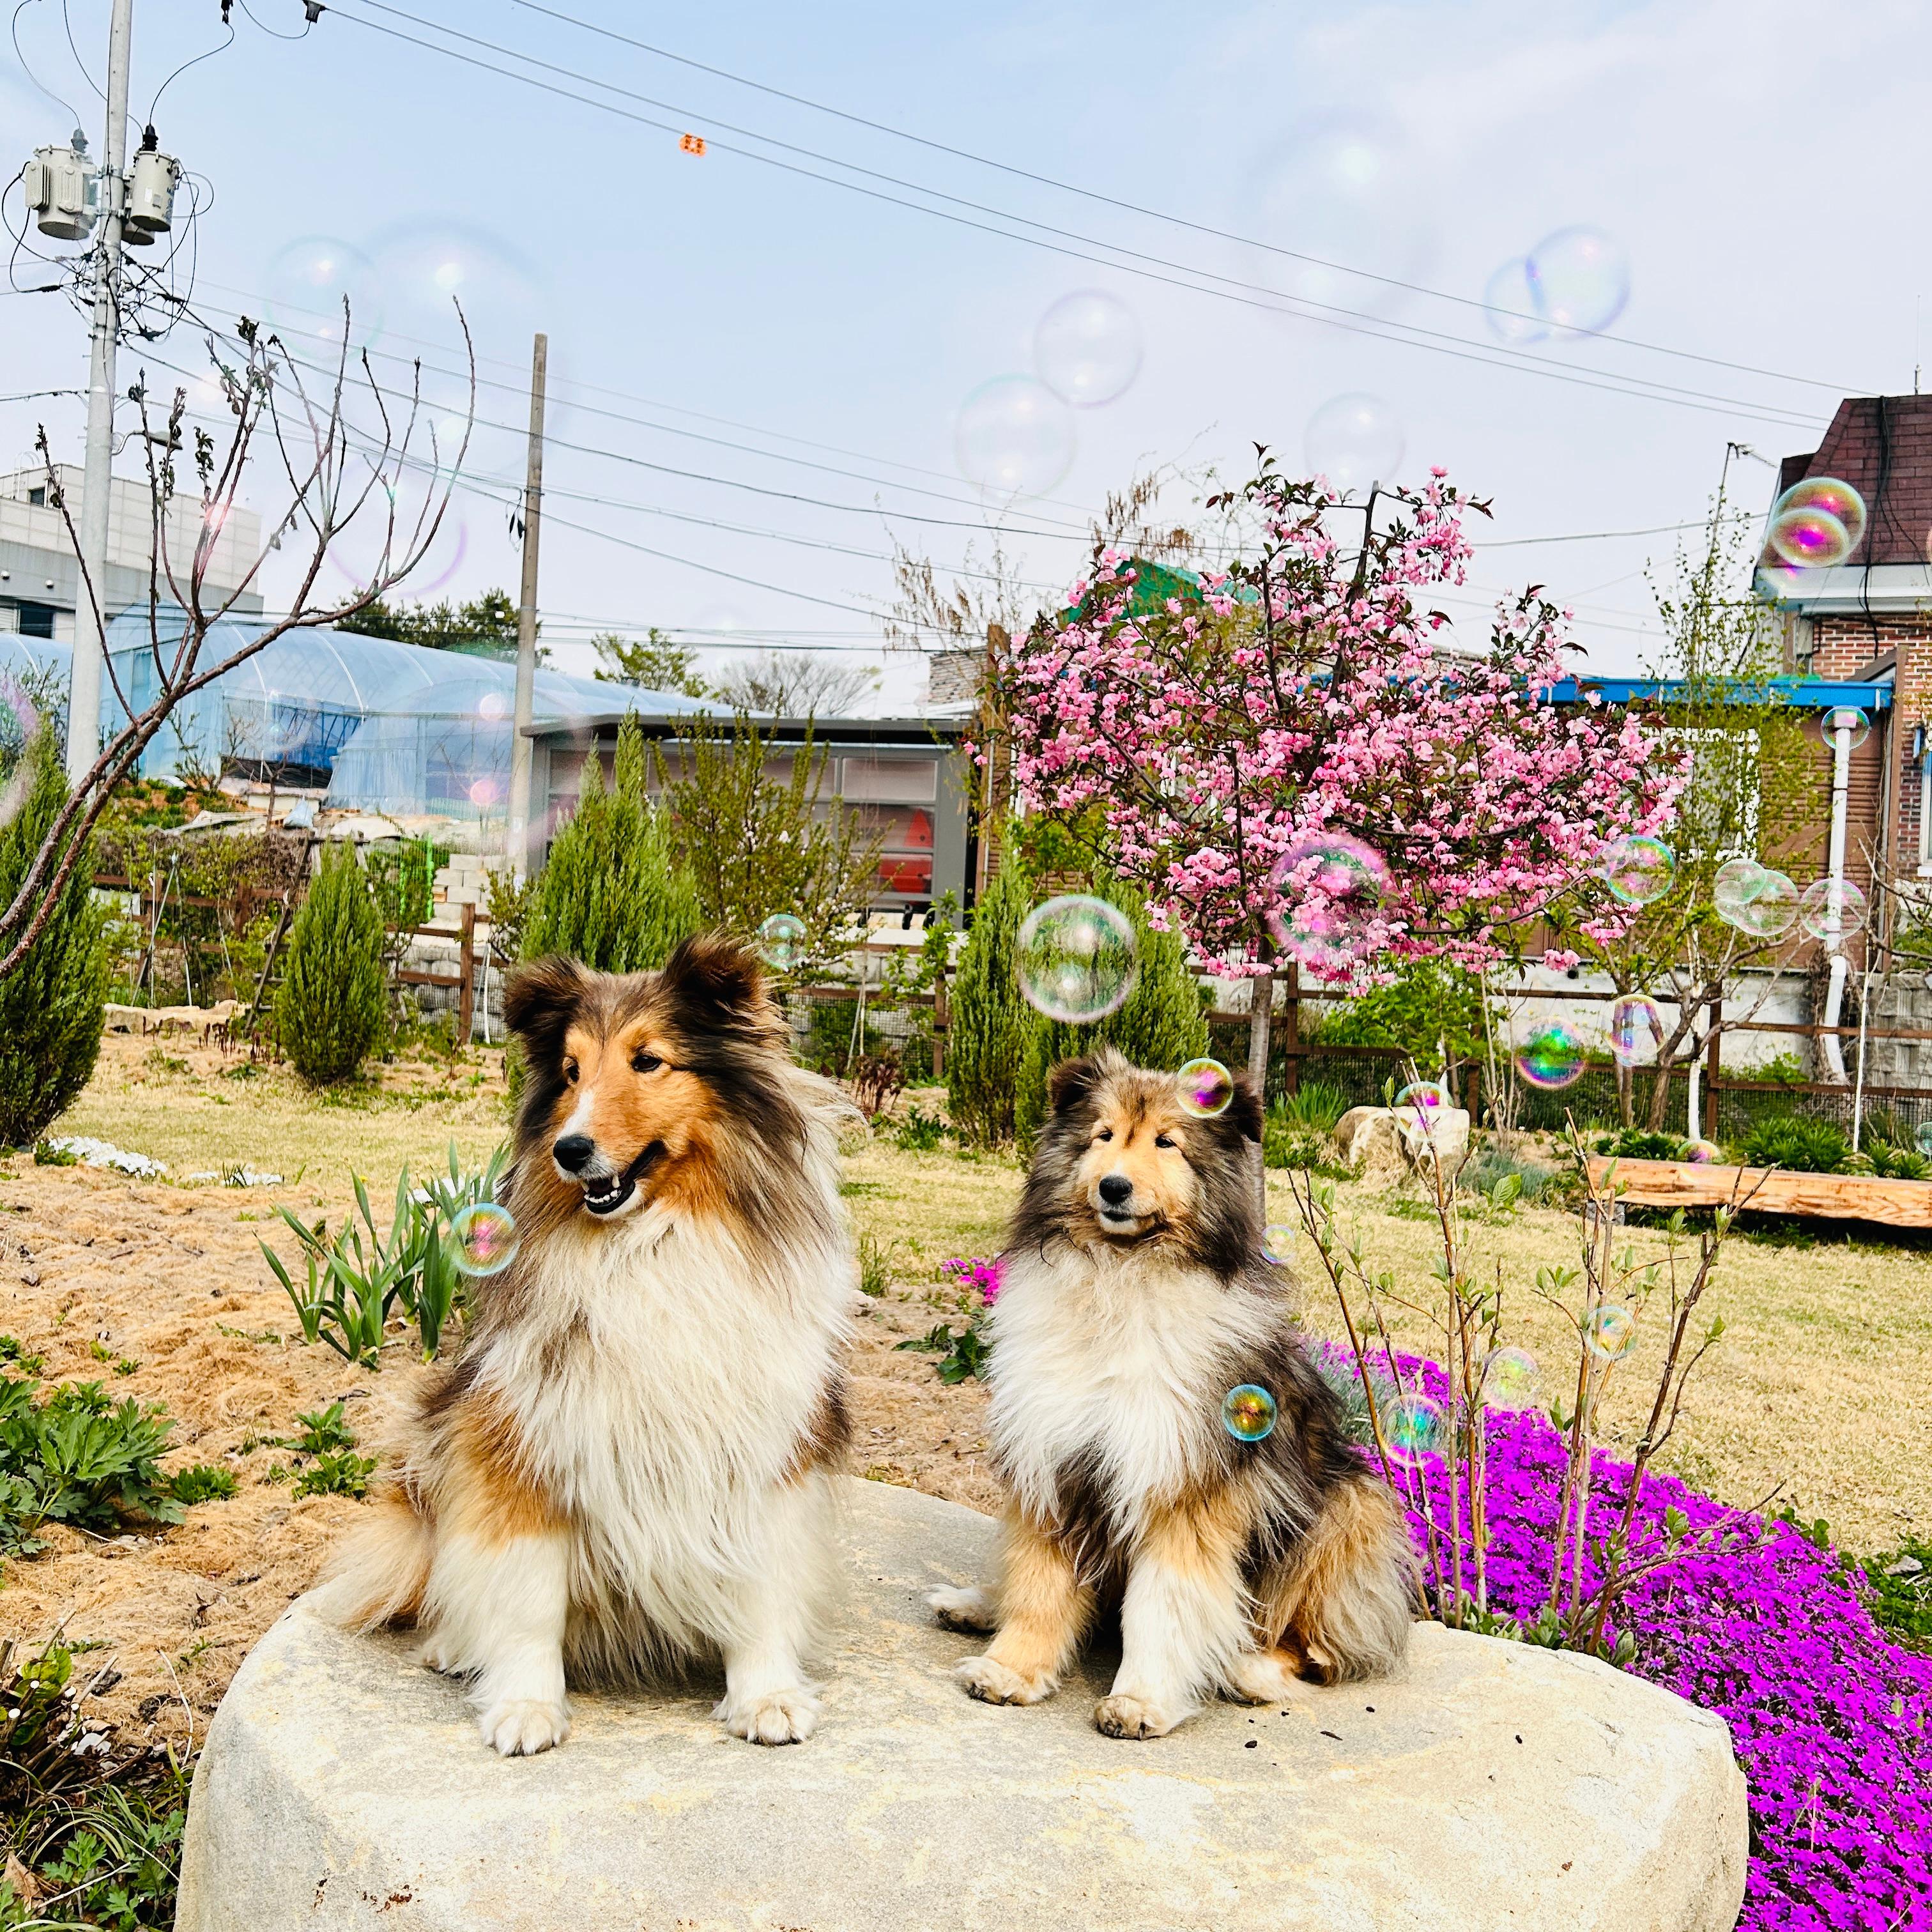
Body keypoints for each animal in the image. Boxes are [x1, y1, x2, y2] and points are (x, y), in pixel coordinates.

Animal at [314, 931, 854, 1754]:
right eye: (570, 1074)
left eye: (648, 1061)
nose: (569, 1151)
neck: (646, 1246)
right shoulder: (525, 1442)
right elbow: (528, 1597)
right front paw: (527, 1707)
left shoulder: (763, 1447)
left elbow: (761, 1586)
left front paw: (766, 1696)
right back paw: (454, 1646)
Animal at [927, 1051, 1414, 1746]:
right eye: (1103, 1136)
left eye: (1167, 1143)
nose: (1113, 1188)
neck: (1122, 1273)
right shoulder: (1052, 1463)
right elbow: (1039, 1586)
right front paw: (1011, 1669)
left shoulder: (1181, 1488)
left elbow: (1164, 1609)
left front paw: (1141, 1701)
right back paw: (975, 1604)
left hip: (1351, 1505)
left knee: (1315, 1643)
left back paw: (1250, 1668)